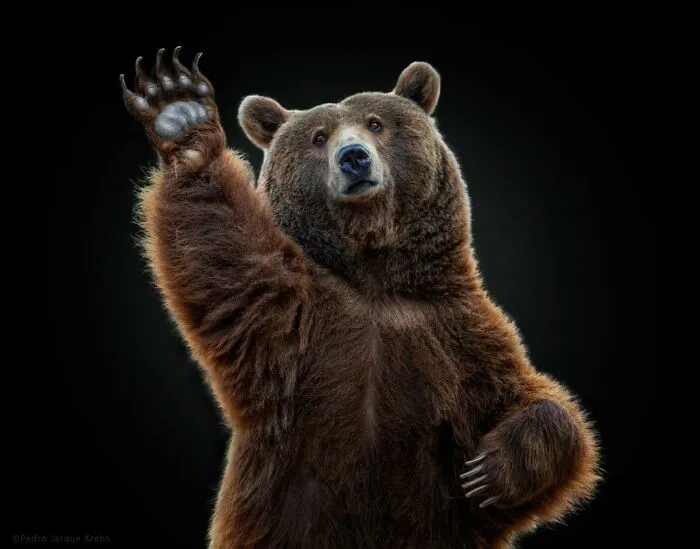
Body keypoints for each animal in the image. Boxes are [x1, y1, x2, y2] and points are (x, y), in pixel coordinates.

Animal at [120, 47, 601, 549]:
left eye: (376, 123)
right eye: (318, 136)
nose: (354, 158)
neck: (374, 279)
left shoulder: (457, 335)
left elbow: (524, 399)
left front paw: (489, 471)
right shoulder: (288, 318)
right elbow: (225, 253)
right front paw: (179, 110)